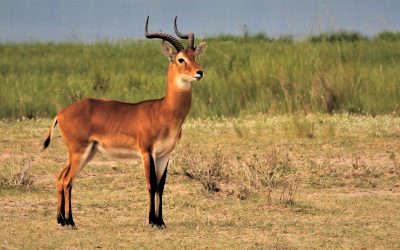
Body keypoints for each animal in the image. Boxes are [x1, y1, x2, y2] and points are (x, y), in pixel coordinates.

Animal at [42, 16, 208, 229]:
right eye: (181, 59)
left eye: (195, 56)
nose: (199, 72)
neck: (164, 111)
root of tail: (61, 113)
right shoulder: (147, 153)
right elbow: (151, 184)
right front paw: (152, 221)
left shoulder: (164, 155)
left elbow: (161, 186)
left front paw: (161, 221)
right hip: (79, 152)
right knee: (67, 180)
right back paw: (70, 221)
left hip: (86, 153)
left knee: (60, 176)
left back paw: (60, 220)